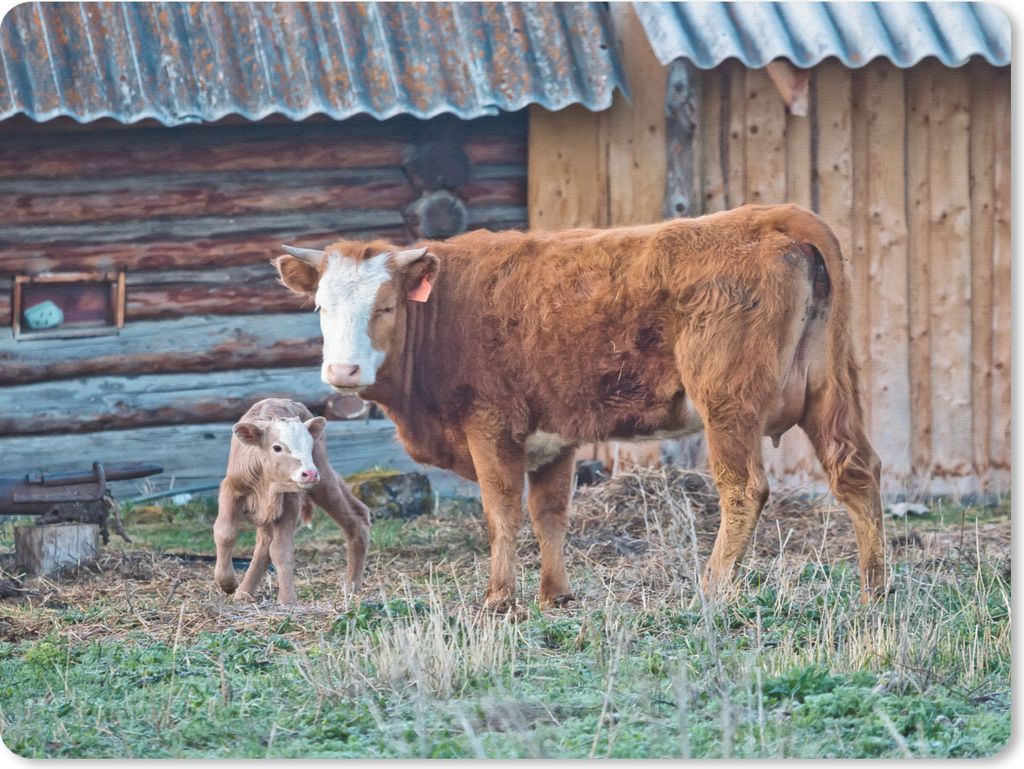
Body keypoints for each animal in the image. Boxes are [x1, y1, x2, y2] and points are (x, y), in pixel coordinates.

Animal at [213, 398, 370, 604]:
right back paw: (244, 593)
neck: (265, 482)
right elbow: (225, 533)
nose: (310, 474)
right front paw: (227, 583)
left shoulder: (290, 501)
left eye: (309, 446)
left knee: (356, 518)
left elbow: (282, 549)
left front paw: (287, 599)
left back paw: (352, 590)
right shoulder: (231, 488)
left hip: (323, 477)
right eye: (277, 447)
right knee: (264, 543)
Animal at [273, 204, 885, 609]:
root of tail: (775, 215)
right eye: (321, 306)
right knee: (855, 471)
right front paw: (555, 595)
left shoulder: (490, 426)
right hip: (831, 388)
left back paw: (711, 587)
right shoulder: (553, 438)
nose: (342, 372)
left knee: (744, 489)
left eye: (385, 306)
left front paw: (499, 599)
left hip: (727, 401)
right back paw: (874, 588)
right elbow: (550, 515)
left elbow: (502, 512)